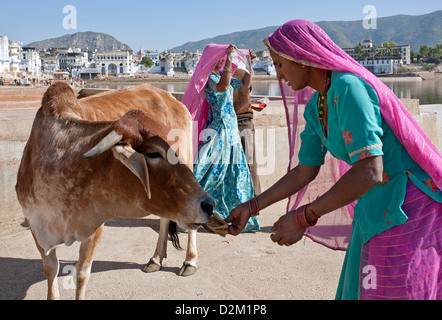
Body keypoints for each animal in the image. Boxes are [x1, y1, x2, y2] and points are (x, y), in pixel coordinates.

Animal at [15, 81, 212, 298]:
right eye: (153, 153)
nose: (209, 204)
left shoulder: (94, 226)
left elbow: (81, 274)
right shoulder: (36, 226)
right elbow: (51, 271)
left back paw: (190, 260)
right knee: (165, 218)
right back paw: (156, 258)